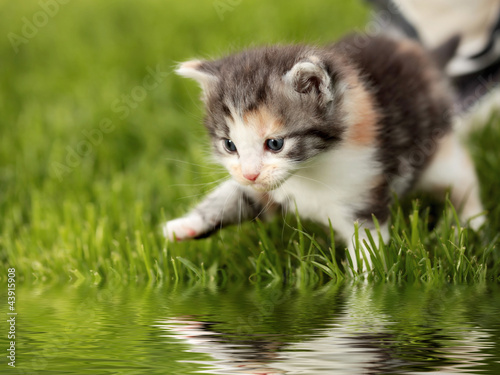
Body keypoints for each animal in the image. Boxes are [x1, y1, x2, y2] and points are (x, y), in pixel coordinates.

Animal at [165, 34, 484, 270]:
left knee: (462, 174)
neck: (308, 169)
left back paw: (471, 222)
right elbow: (233, 197)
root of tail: (422, 53)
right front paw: (185, 225)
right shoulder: (266, 189)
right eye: (229, 145)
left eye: (275, 144)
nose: (250, 174)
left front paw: (365, 293)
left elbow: (368, 251)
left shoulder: (362, 193)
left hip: (437, 152)